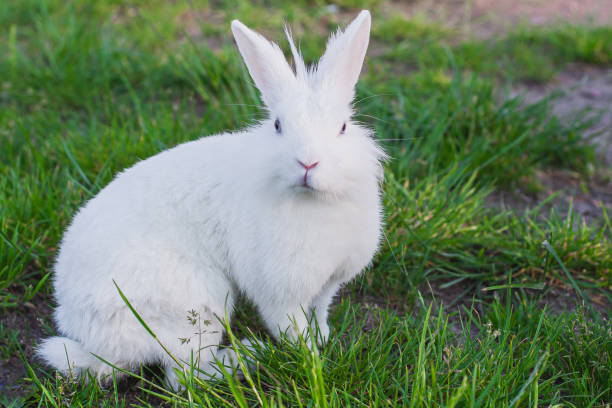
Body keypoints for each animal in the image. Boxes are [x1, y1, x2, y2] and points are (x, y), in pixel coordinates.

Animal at [37, 10, 382, 388]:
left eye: (343, 127)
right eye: (278, 126)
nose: (308, 162)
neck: (314, 201)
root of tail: (96, 342)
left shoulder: (328, 284)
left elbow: (319, 311)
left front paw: (323, 339)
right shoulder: (277, 293)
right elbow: (291, 329)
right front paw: (312, 361)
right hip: (198, 306)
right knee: (184, 376)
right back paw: (246, 357)